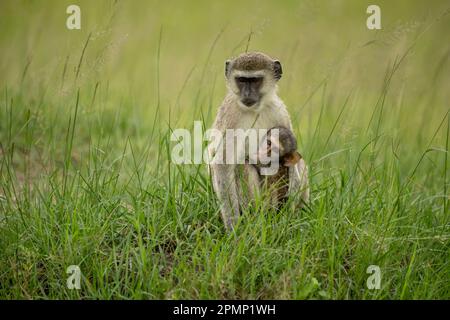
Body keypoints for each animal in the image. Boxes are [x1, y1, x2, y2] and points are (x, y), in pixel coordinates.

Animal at [208, 52, 308, 230]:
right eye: (242, 80)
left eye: (255, 80)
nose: (247, 94)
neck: (255, 109)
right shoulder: (232, 115)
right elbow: (222, 163)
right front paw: (234, 228)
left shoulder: (279, 110)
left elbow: (293, 155)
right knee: (242, 164)